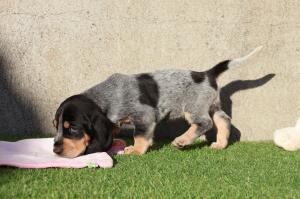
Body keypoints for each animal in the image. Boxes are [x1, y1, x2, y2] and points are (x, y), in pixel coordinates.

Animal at [52, 45, 262, 156]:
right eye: (56, 126)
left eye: (73, 128)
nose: (55, 150)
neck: (106, 96)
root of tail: (206, 74)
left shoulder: (144, 116)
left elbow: (140, 135)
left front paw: (135, 150)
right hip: (211, 105)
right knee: (223, 120)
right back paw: (220, 144)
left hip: (193, 107)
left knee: (205, 123)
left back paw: (182, 140)